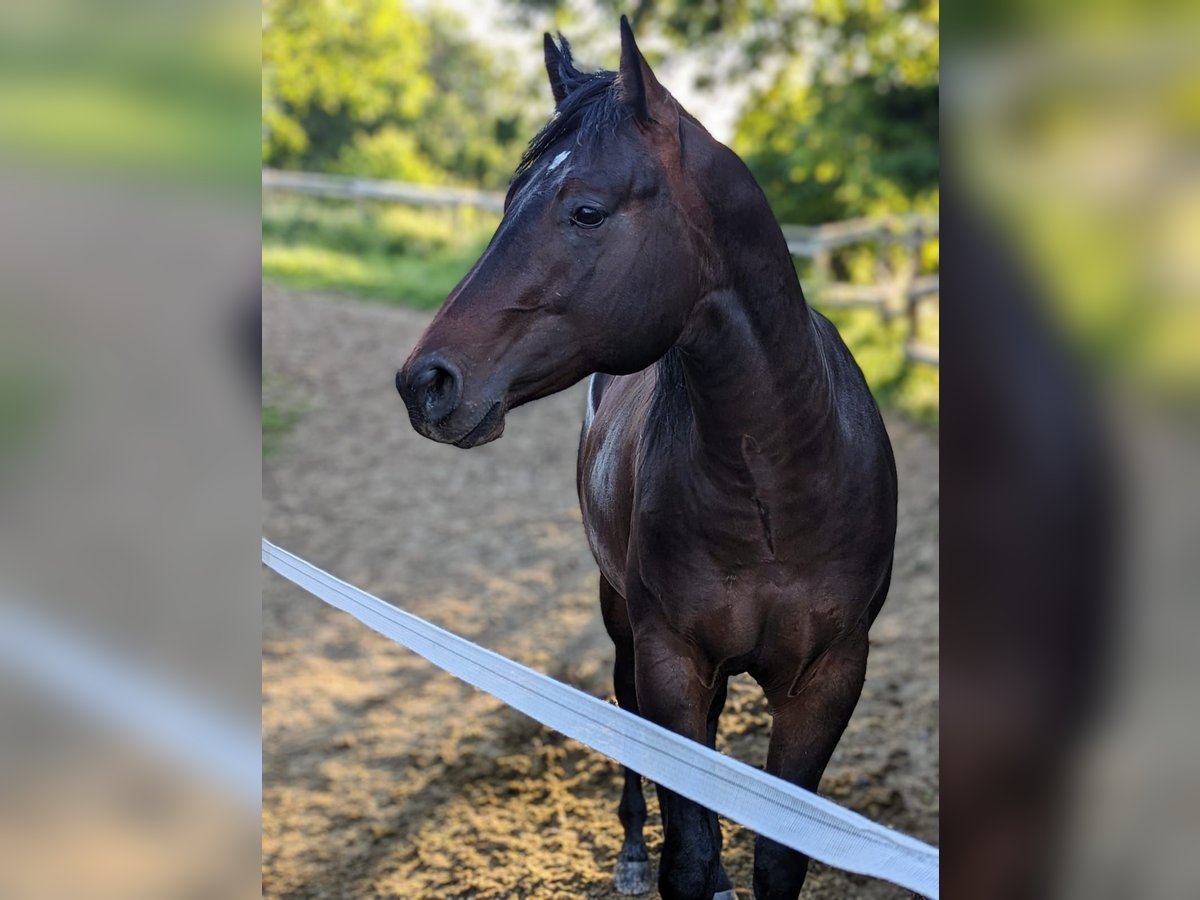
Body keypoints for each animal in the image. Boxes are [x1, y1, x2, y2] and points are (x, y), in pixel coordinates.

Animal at [398, 17, 897, 897]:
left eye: (587, 211)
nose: (425, 381)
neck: (779, 481)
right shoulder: (671, 660)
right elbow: (685, 851)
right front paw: (668, 858)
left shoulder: (829, 679)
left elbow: (778, 858)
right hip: (621, 614)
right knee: (627, 713)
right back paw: (630, 848)